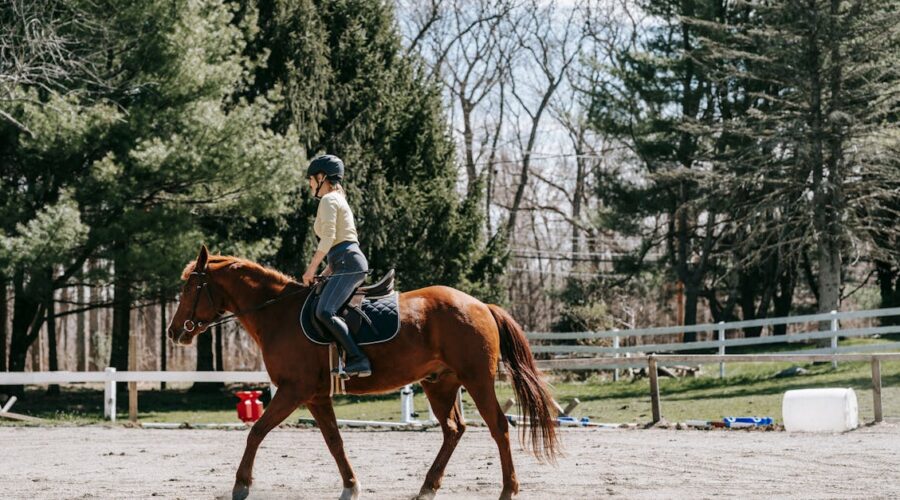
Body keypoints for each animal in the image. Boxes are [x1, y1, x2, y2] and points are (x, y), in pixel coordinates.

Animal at [166, 245, 559, 500]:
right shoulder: (315, 396)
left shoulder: (294, 390)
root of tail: (479, 304)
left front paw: (242, 484)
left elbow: (256, 432)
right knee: (453, 430)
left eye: (191, 287)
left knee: (498, 427)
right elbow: (334, 441)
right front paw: (350, 486)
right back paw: (427, 487)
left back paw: (508, 489)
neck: (278, 314)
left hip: (476, 379)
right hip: (440, 384)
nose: (173, 332)